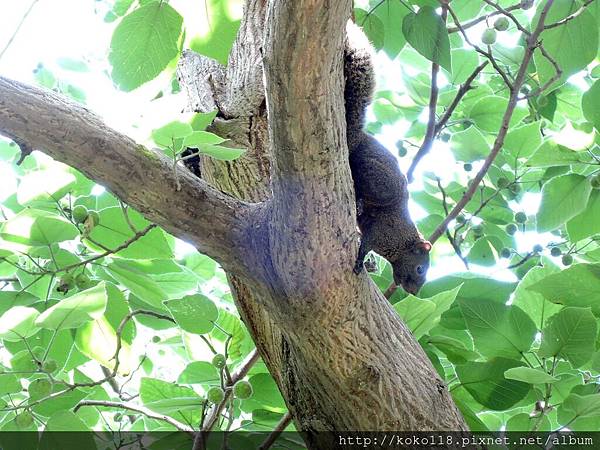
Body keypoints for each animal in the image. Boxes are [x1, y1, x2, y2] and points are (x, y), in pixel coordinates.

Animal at [342, 23, 432, 296]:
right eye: (420, 269)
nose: (414, 292)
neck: (402, 242)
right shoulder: (382, 232)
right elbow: (367, 242)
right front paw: (361, 258)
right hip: (377, 180)